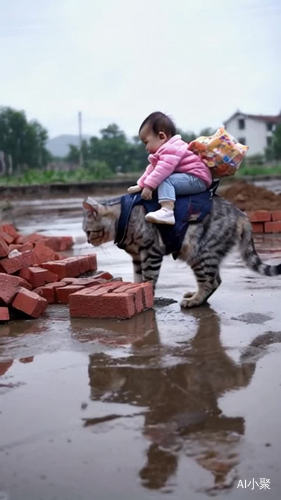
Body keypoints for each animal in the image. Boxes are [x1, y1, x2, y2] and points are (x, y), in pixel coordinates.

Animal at [82, 196, 278, 308]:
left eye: (88, 232)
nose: (88, 241)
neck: (124, 217)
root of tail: (242, 215)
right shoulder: (137, 256)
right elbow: (138, 278)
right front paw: (137, 291)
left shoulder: (151, 252)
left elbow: (149, 278)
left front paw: (148, 294)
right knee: (216, 280)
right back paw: (196, 297)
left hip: (200, 254)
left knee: (210, 282)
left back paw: (194, 301)